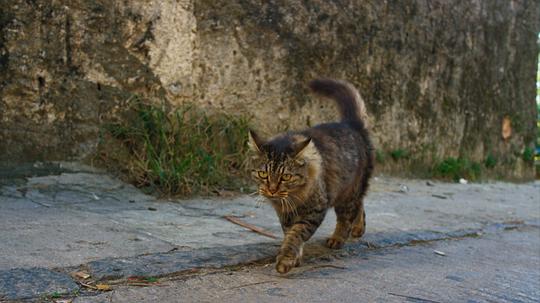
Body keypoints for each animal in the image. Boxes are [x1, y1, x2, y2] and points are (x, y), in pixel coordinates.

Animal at [249, 78, 372, 274]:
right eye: (263, 174)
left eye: (285, 177)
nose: (272, 190)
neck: (292, 198)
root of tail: (351, 124)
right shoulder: (285, 215)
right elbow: (289, 233)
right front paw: (296, 258)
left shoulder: (314, 209)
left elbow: (296, 235)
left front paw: (286, 260)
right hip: (349, 191)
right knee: (359, 204)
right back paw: (359, 228)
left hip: (347, 192)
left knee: (347, 216)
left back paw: (338, 239)